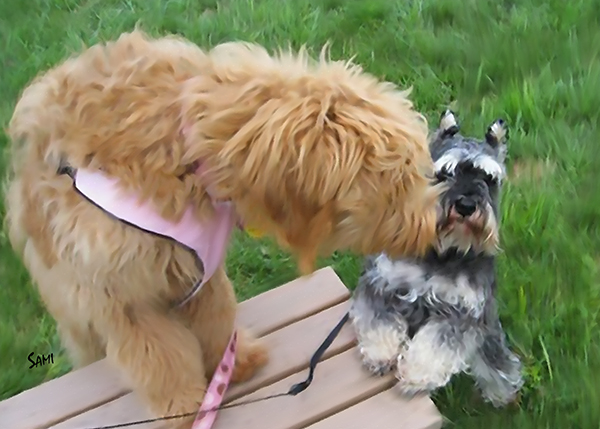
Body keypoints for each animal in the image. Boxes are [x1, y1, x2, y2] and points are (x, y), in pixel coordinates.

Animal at [3, 29, 436, 424]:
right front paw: (183, 407)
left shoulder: (200, 268)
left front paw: (235, 362)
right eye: (398, 185)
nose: (430, 233)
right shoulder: (125, 295)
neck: (185, 150)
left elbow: (217, 321)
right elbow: (159, 356)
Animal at [350, 108, 524, 406]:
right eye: (445, 173)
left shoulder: (461, 312)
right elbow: (378, 320)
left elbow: (437, 345)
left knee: (494, 359)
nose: (466, 205)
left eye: (489, 179)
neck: (442, 252)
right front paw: (380, 353)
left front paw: (416, 376)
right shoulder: (382, 282)